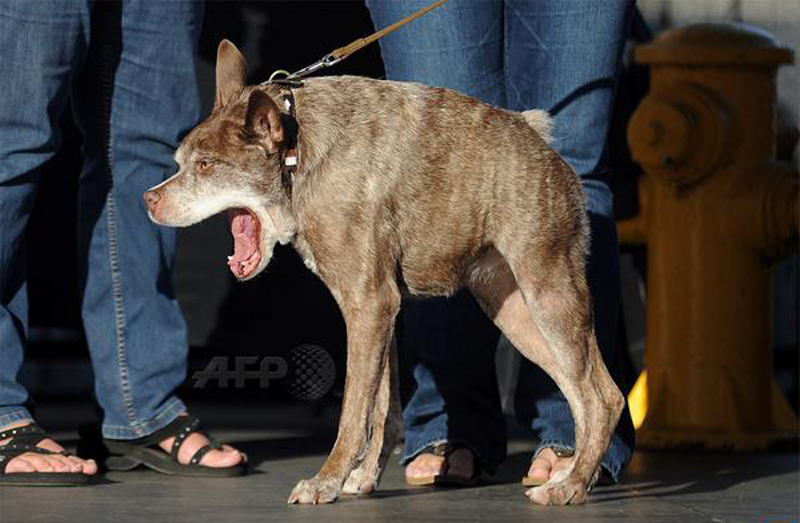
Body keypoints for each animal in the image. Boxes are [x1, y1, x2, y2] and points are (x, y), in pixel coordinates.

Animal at [147, 41, 628, 508]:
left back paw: (570, 486)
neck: (297, 156)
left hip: (548, 292)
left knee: (603, 397)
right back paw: (571, 474)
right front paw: (363, 477)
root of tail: (542, 142)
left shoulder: (368, 304)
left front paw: (325, 481)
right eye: (180, 161)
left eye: (206, 166)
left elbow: (352, 412)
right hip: (513, 311)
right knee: (581, 396)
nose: (149, 199)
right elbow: (381, 407)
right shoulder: (380, 309)